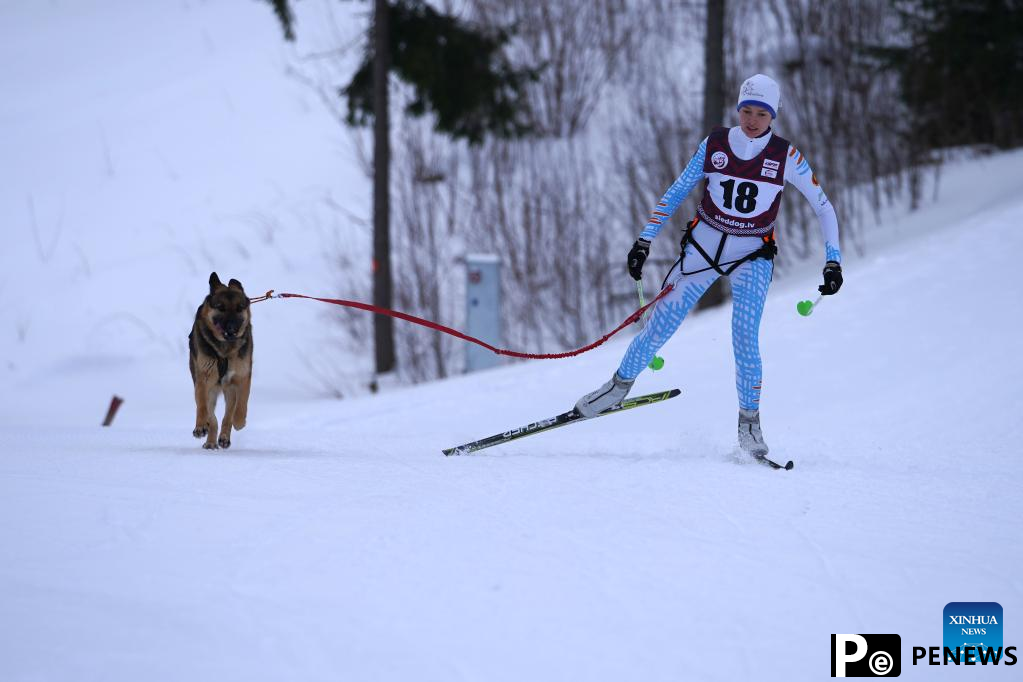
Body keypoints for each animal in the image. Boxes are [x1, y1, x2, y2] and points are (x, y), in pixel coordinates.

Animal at [189, 271, 252, 447]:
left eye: (239, 308)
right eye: (221, 308)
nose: (232, 327)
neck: (225, 350)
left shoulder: (242, 377)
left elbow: (242, 403)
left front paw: (239, 421)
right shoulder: (203, 379)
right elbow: (203, 407)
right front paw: (201, 425)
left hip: (229, 391)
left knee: (227, 415)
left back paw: (224, 437)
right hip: (209, 387)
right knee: (212, 416)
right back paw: (209, 439)